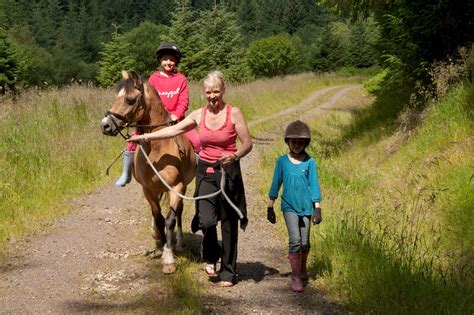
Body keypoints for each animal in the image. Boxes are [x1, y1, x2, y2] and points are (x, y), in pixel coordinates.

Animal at [100, 71, 196, 274]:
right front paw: (162, 245)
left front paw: (169, 258)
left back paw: (179, 243)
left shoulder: (176, 187)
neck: (159, 146)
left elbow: (169, 220)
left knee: (178, 212)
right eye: (116, 97)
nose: (105, 125)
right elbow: (158, 219)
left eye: (129, 100)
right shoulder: (148, 189)